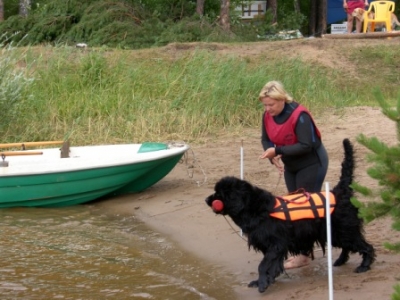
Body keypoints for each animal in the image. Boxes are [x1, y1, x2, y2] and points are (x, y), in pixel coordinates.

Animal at [206, 139, 376, 294]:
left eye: (219, 194)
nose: (207, 200)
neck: (256, 208)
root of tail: (339, 191)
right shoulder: (272, 247)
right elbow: (272, 265)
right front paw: (265, 280)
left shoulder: (276, 244)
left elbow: (263, 265)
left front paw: (262, 283)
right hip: (336, 233)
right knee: (348, 246)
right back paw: (340, 261)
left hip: (343, 229)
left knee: (366, 246)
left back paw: (364, 266)